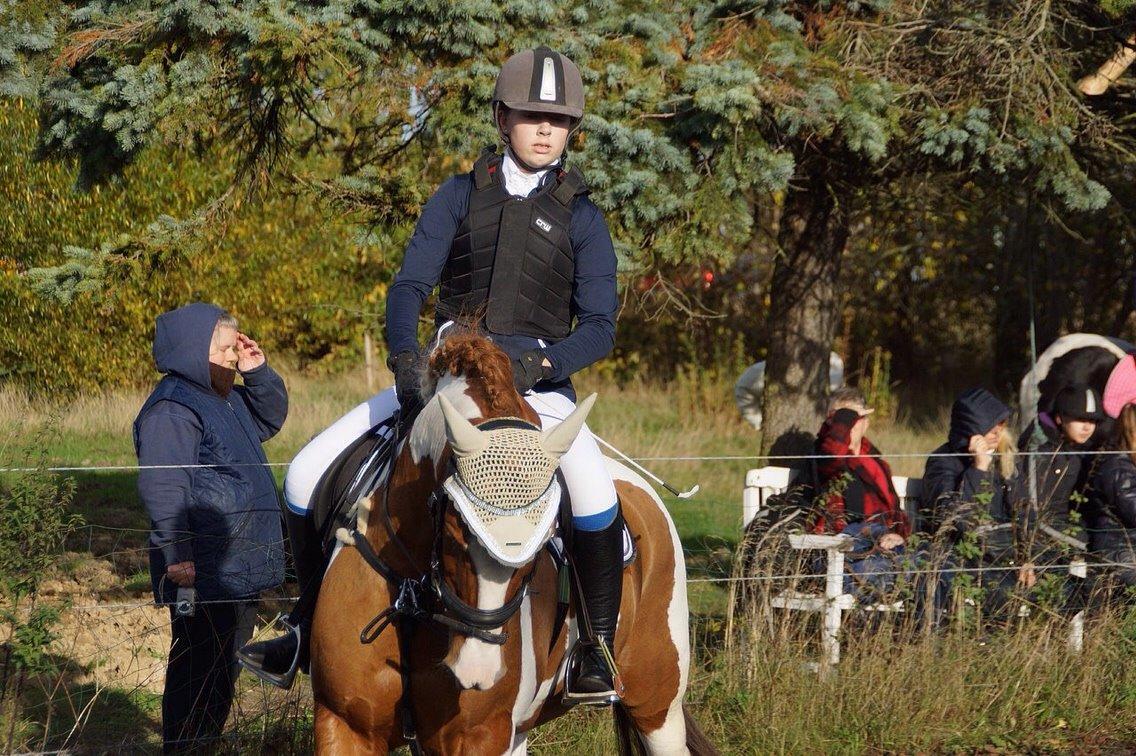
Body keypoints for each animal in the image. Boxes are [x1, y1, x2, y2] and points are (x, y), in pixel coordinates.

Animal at [308, 334, 717, 750]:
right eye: (454, 529)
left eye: (545, 540)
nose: (478, 671)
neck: (412, 596)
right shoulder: (343, 724)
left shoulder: (480, 736)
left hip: (657, 706)